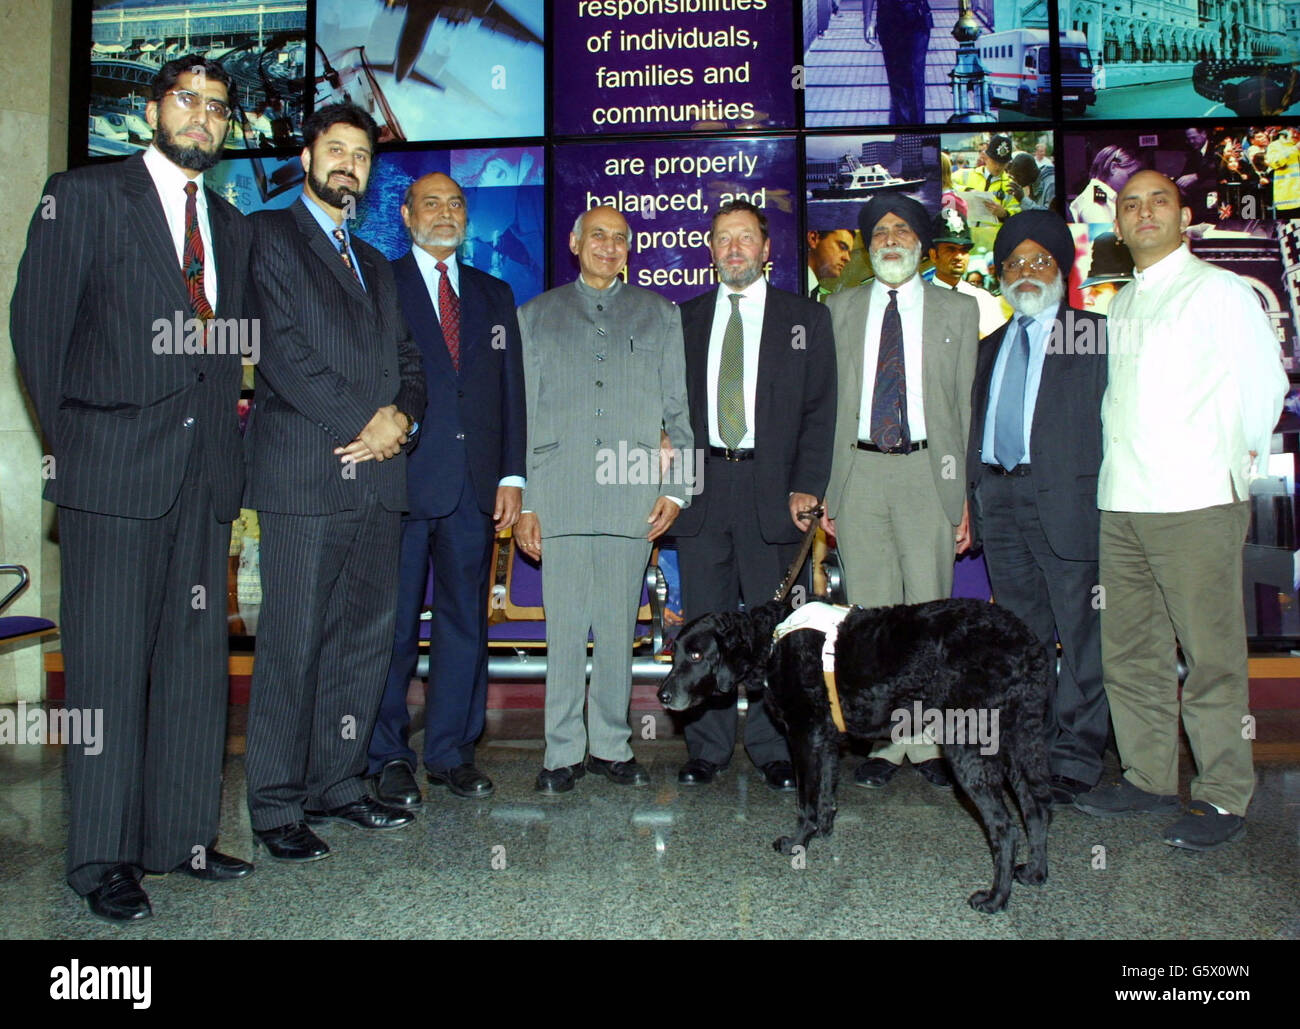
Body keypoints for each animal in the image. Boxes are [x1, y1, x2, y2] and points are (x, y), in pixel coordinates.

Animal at [660, 597, 1055, 914]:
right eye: (675, 652)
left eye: (696, 655)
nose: (663, 695)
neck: (770, 641)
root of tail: (1027, 643)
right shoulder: (827, 739)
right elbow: (825, 795)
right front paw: (822, 832)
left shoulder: (804, 735)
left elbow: (805, 801)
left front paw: (797, 844)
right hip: (1021, 743)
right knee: (1036, 811)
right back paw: (1034, 873)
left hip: (967, 745)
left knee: (1005, 828)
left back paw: (995, 899)